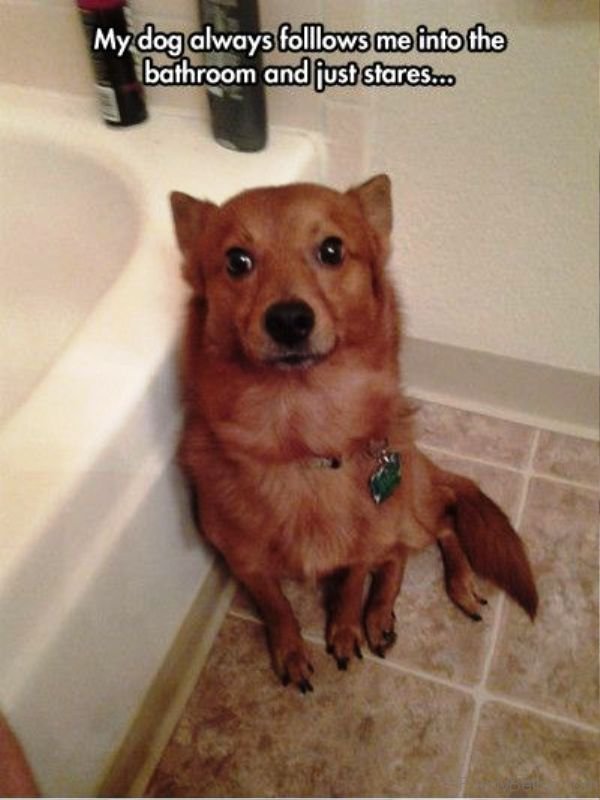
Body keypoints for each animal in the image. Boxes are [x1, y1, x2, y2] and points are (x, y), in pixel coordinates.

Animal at [170, 177, 540, 692]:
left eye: (332, 250)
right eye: (237, 261)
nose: (289, 319)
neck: (303, 435)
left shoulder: (363, 544)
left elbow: (348, 587)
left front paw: (344, 631)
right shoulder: (247, 563)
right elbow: (277, 607)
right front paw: (291, 650)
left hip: (406, 510)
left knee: (438, 527)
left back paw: (444, 591)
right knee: (399, 556)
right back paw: (382, 613)